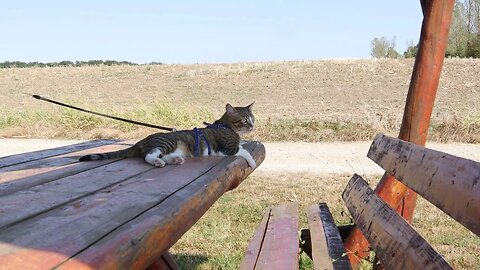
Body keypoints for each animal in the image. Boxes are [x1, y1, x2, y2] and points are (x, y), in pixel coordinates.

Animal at [79, 103, 256, 169]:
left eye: (252, 118)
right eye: (244, 120)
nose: (253, 126)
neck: (224, 125)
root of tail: (142, 140)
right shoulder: (228, 148)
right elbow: (244, 150)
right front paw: (252, 162)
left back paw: (175, 160)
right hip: (166, 143)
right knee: (149, 156)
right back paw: (157, 162)